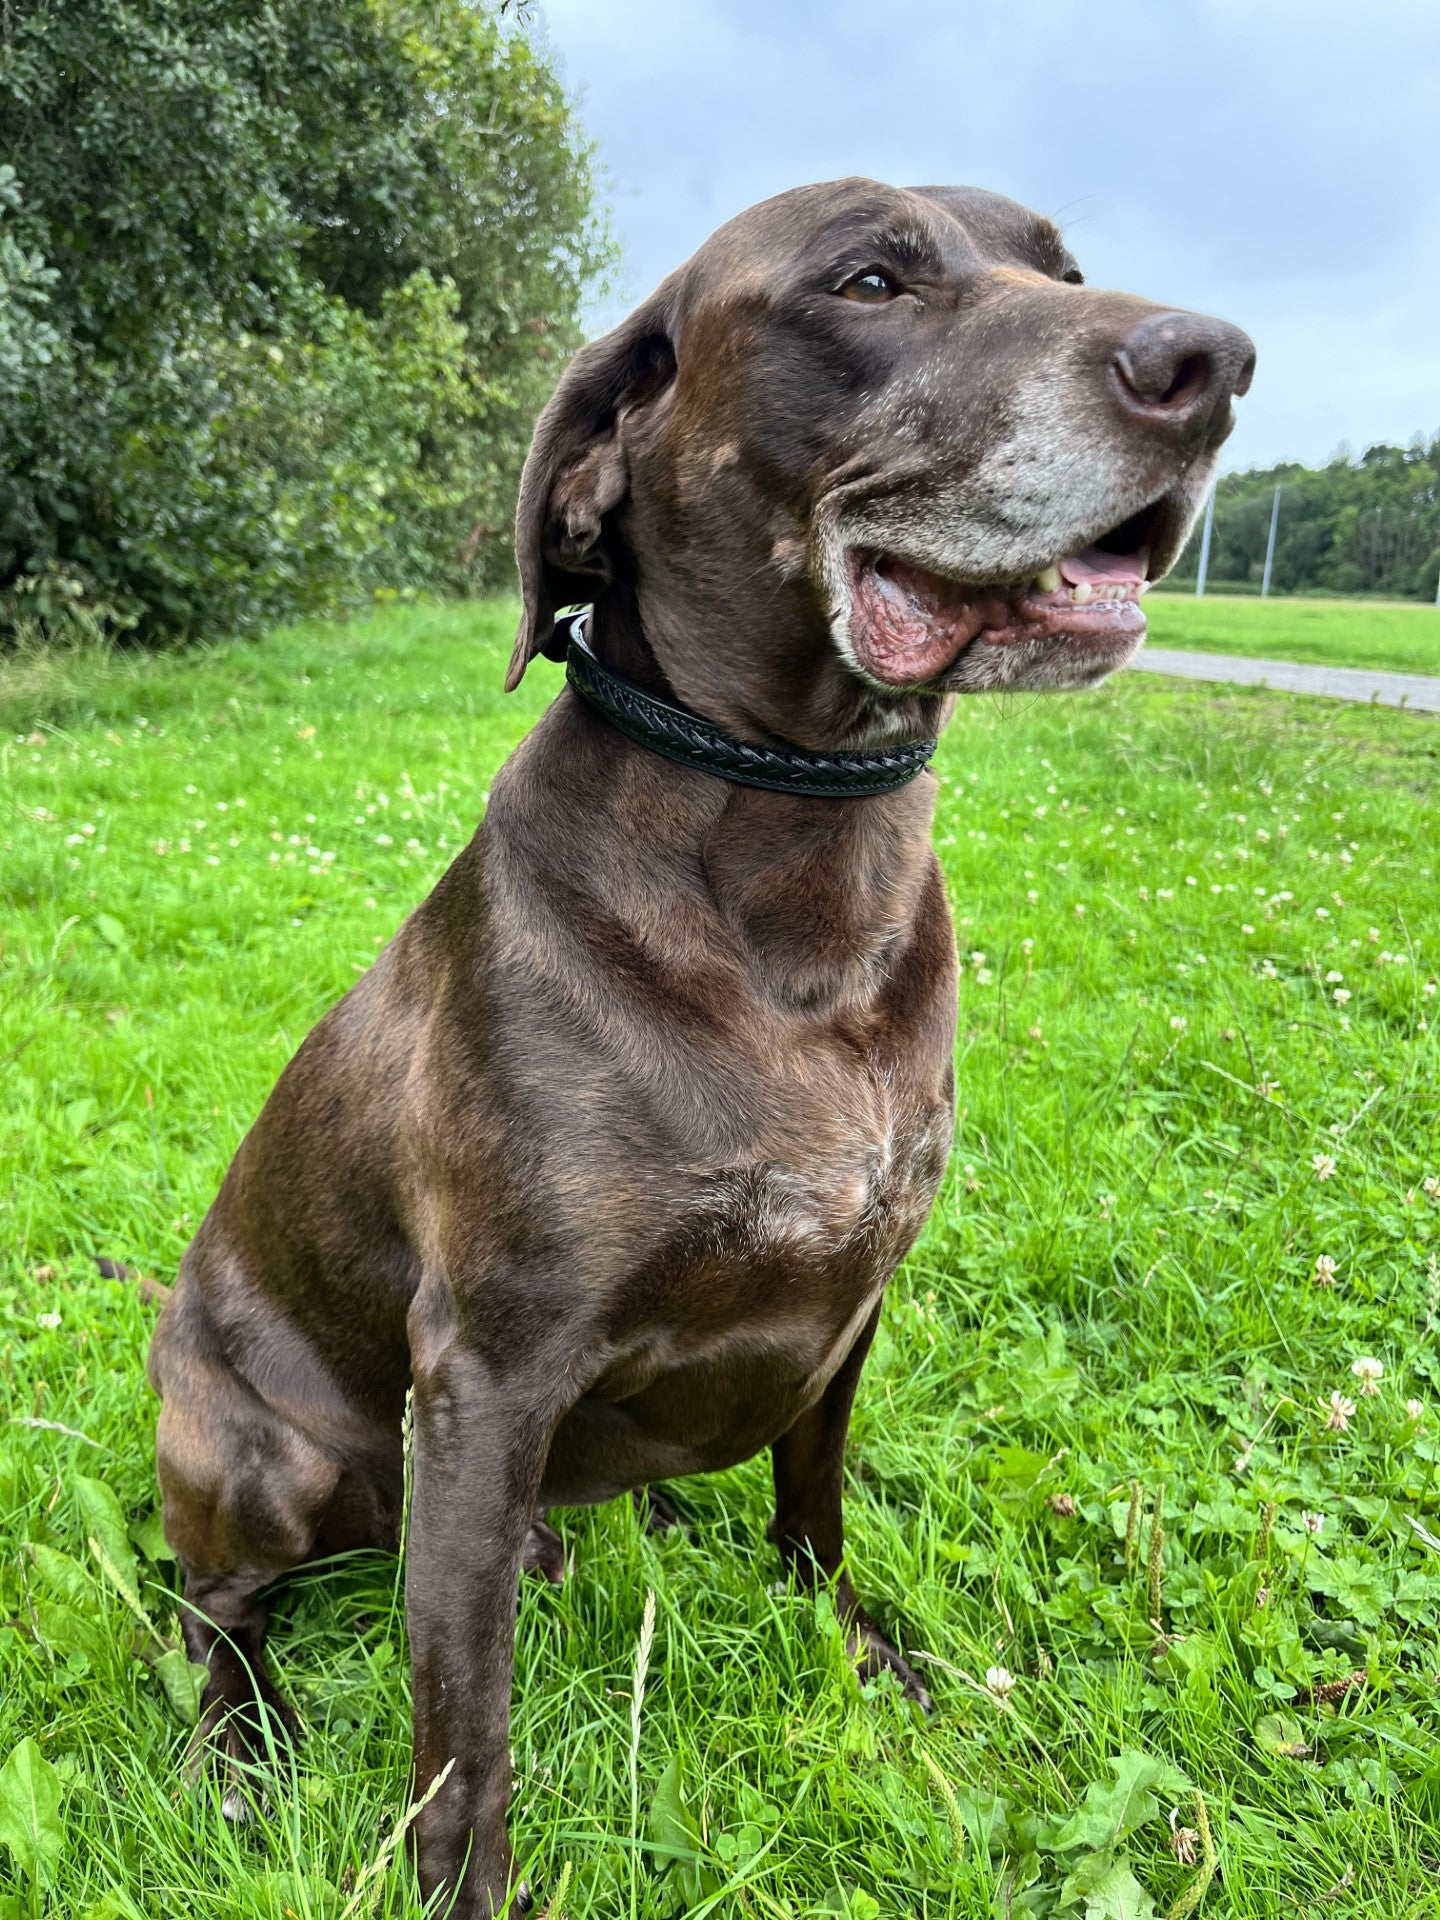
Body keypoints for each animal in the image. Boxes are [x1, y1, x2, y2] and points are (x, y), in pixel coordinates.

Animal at [144, 176, 1251, 1904]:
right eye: (868, 281)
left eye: (1059, 267)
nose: (1215, 363)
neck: (798, 865)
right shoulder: (490, 1372)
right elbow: (464, 1719)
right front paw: (463, 1889)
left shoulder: (854, 1303)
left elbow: (816, 1505)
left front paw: (854, 1652)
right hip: (263, 1457)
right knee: (209, 1605)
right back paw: (245, 1740)